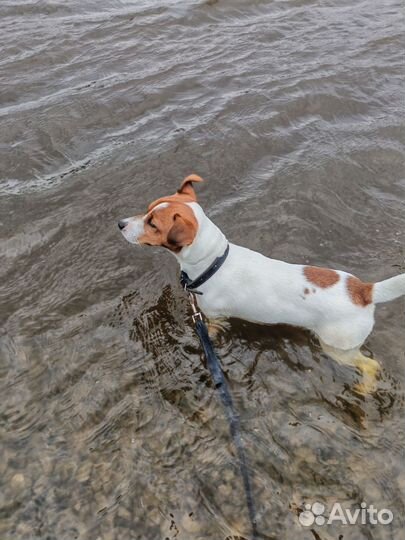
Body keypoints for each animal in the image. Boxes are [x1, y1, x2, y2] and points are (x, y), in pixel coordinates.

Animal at [118, 175, 402, 390]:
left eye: (153, 224)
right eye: (147, 209)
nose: (120, 223)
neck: (214, 262)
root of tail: (365, 291)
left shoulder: (214, 319)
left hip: (338, 348)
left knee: (371, 365)